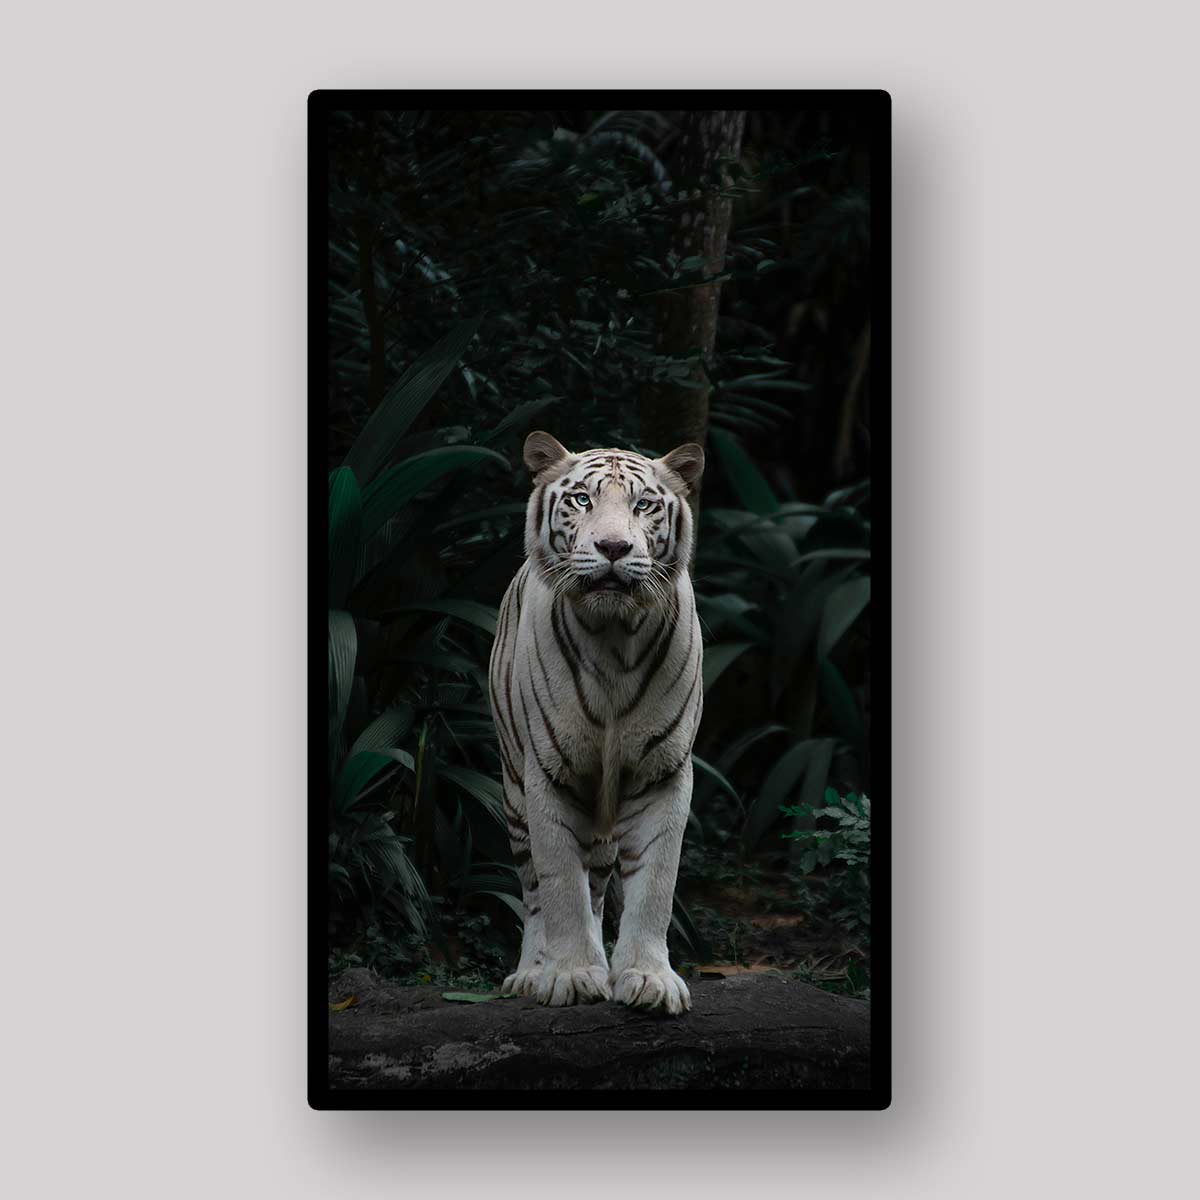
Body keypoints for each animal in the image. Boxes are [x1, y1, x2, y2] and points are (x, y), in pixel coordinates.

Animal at [487, 430, 705, 1014]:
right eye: (582, 499)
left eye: (644, 505)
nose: (612, 548)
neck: (613, 638)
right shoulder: (548, 774)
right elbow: (561, 884)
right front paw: (571, 975)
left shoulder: (662, 773)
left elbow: (655, 884)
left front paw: (648, 978)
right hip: (513, 791)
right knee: (534, 890)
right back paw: (531, 973)